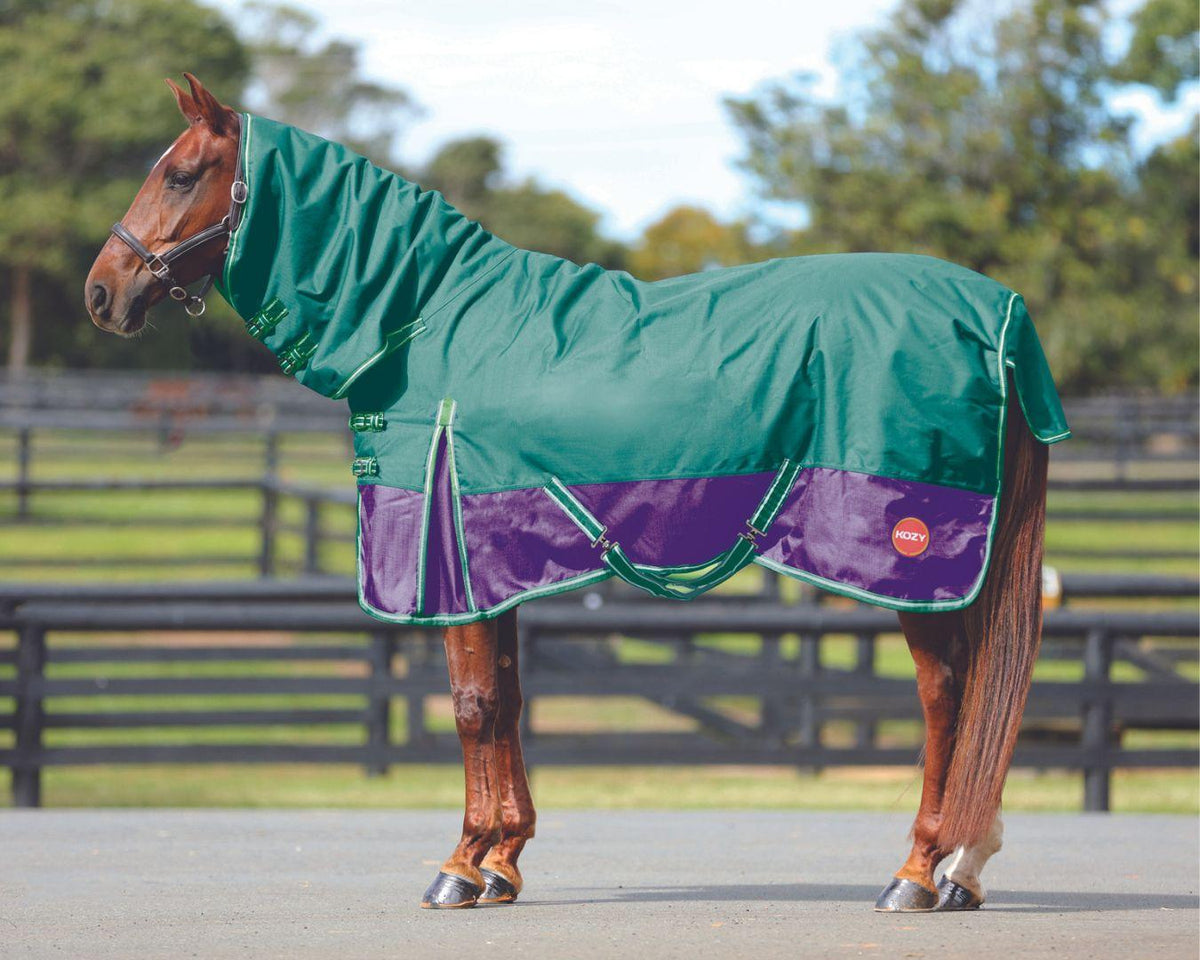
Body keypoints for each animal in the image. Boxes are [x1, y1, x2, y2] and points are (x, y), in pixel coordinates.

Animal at [86, 74, 1064, 912]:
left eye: (179, 173)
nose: (102, 291)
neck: (425, 319)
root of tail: (999, 310)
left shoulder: (454, 557)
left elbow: (473, 707)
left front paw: (458, 867)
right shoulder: (493, 561)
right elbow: (508, 700)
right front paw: (501, 862)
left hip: (910, 563)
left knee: (948, 697)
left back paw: (919, 870)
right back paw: (963, 870)